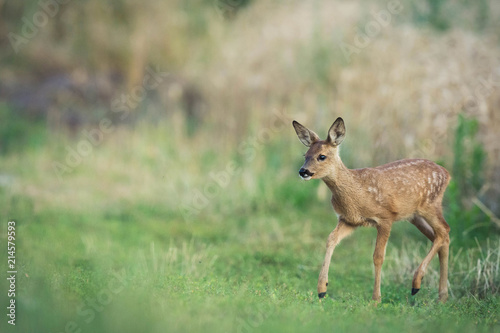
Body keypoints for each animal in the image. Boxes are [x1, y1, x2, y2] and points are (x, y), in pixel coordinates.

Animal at [292, 118, 452, 302]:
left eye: (322, 156)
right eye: (305, 155)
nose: (303, 171)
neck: (357, 192)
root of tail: (447, 173)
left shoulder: (386, 217)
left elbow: (378, 256)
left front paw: (376, 299)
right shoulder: (349, 220)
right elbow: (330, 239)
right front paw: (321, 289)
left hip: (430, 205)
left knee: (444, 231)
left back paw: (417, 284)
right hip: (414, 216)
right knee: (440, 237)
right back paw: (441, 296)